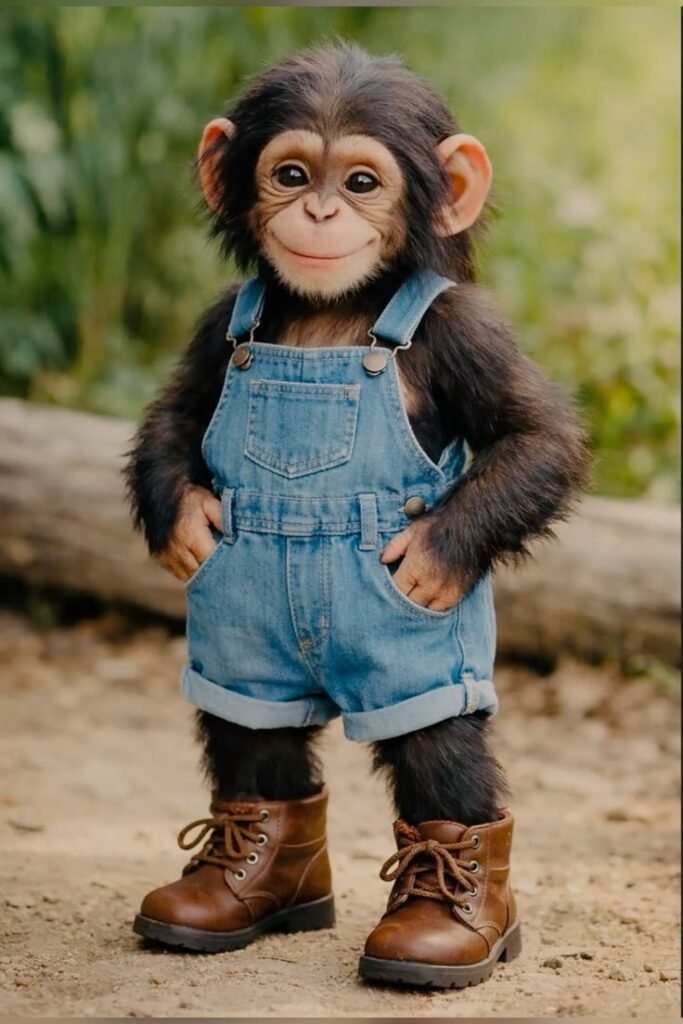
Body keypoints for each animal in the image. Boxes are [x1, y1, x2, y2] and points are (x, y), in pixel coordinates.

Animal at [125, 43, 590, 988]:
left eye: (364, 180)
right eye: (291, 173)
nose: (320, 208)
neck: (330, 316)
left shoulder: (464, 330)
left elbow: (538, 438)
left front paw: (431, 554)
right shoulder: (214, 326)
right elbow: (178, 417)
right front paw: (185, 526)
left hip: (419, 662)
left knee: (437, 747)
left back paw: (441, 924)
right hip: (240, 644)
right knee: (250, 727)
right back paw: (240, 882)